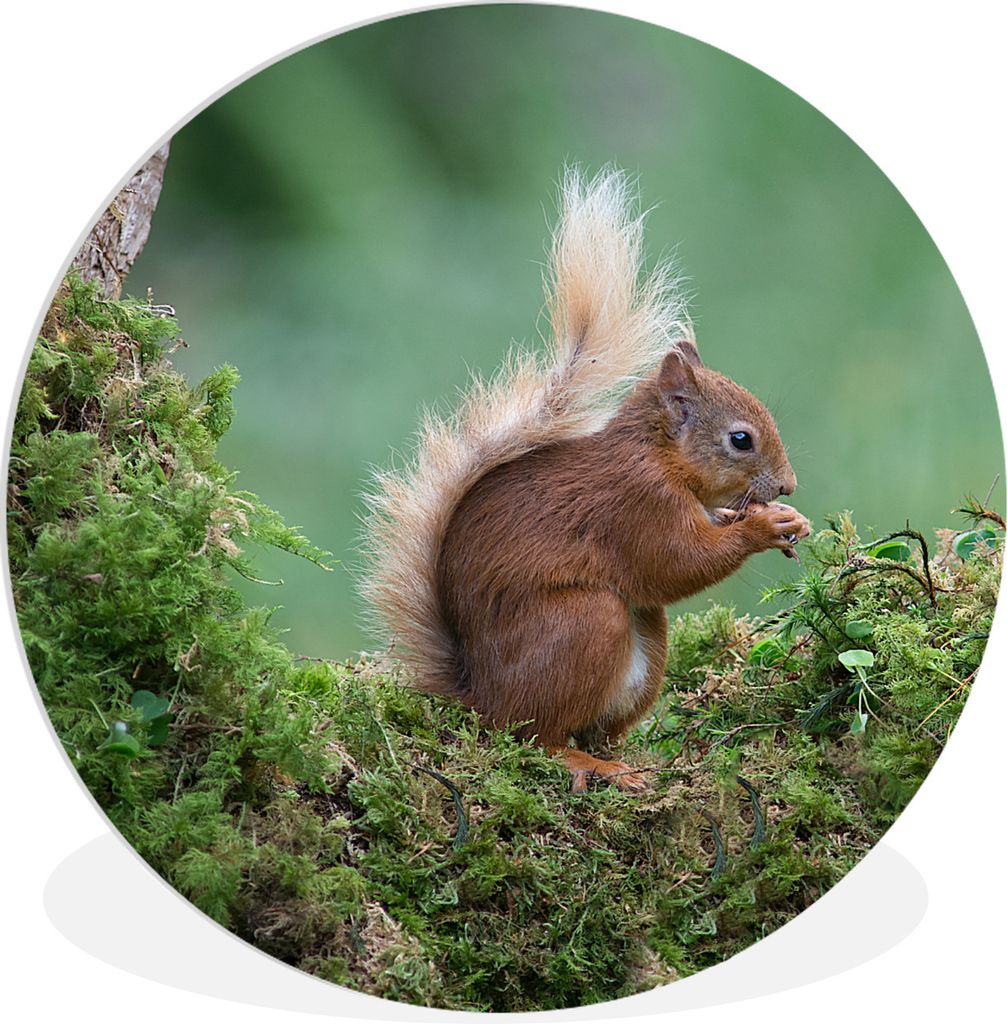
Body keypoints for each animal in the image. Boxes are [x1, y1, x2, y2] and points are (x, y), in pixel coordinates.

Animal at [362, 168, 810, 791]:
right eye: (740, 440)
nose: (788, 486)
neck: (658, 456)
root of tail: (479, 698)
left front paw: (781, 519)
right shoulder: (635, 503)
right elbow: (675, 563)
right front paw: (762, 528)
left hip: (645, 647)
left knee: (596, 726)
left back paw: (625, 761)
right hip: (584, 624)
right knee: (536, 737)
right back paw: (587, 764)